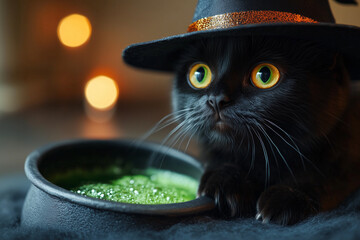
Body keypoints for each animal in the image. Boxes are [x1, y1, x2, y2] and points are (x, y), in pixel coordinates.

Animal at [172, 35, 360, 225]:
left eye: (265, 75)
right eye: (200, 74)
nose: (216, 99)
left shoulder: (345, 155)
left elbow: (324, 176)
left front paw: (288, 196)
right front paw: (225, 182)